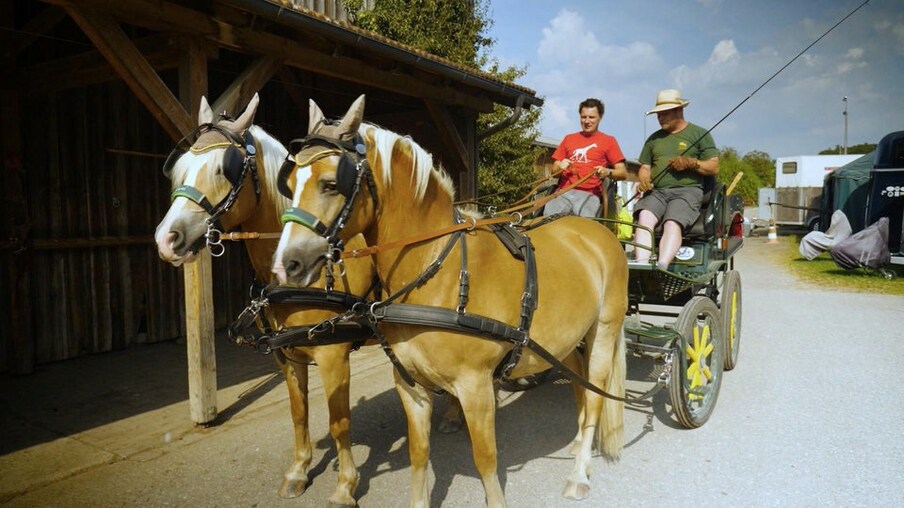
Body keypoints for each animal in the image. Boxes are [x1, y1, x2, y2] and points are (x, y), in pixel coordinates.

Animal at [154, 93, 372, 506]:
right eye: (181, 167)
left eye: (224, 169)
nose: (166, 239)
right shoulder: (285, 355)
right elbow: (299, 412)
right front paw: (299, 471)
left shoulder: (333, 355)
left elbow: (339, 422)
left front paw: (345, 486)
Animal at [274, 94, 628, 504]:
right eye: (289, 183)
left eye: (331, 183)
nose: (287, 264)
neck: (437, 271)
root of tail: (595, 232)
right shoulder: (410, 384)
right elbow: (418, 453)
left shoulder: (475, 386)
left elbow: (486, 459)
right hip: (564, 340)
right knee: (579, 385)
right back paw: (577, 445)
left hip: (604, 330)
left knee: (597, 397)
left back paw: (579, 474)